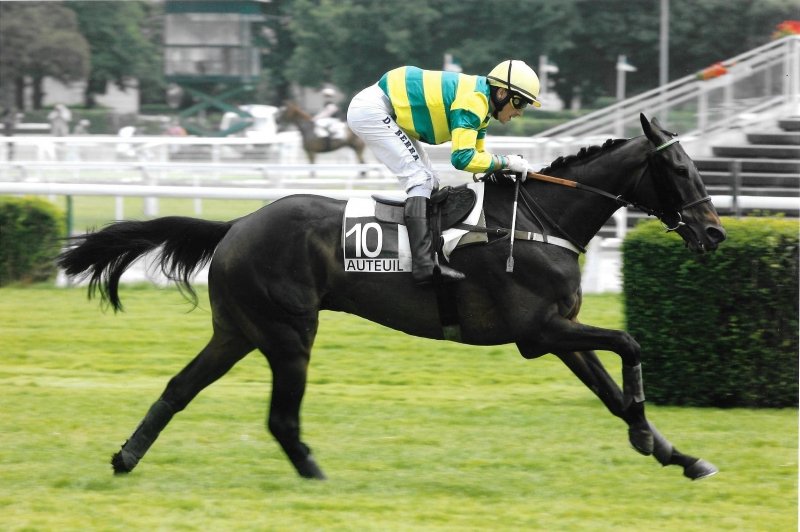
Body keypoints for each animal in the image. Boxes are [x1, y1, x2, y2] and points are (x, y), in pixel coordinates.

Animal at [58, 114, 726, 481]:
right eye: (682, 171)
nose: (714, 232)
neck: (542, 219)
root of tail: (238, 222)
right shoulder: (538, 334)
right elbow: (630, 344)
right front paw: (651, 437)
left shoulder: (559, 333)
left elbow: (611, 393)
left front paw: (674, 453)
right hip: (288, 333)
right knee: (279, 416)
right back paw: (315, 474)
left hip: (239, 330)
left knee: (179, 388)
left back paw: (126, 457)